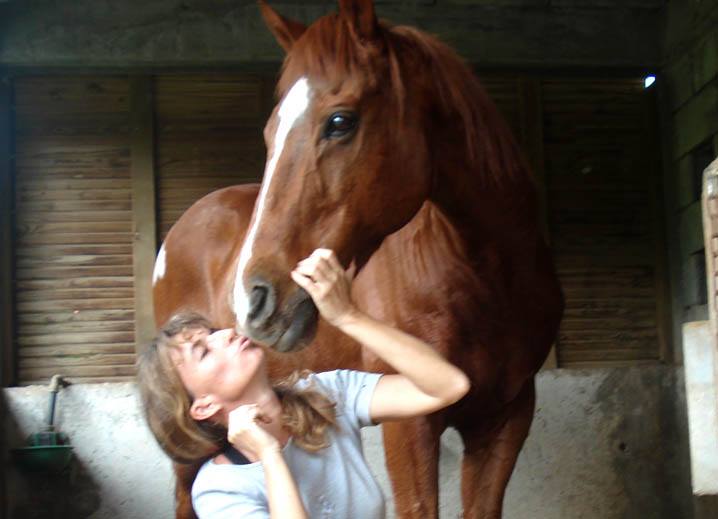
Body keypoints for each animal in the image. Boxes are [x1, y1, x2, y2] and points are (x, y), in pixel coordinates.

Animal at [152, 0, 564, 517]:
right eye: (270, 132)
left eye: (340, 121)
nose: (253, 301)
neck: (484, 283)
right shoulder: (411, 428)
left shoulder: (506, 419)